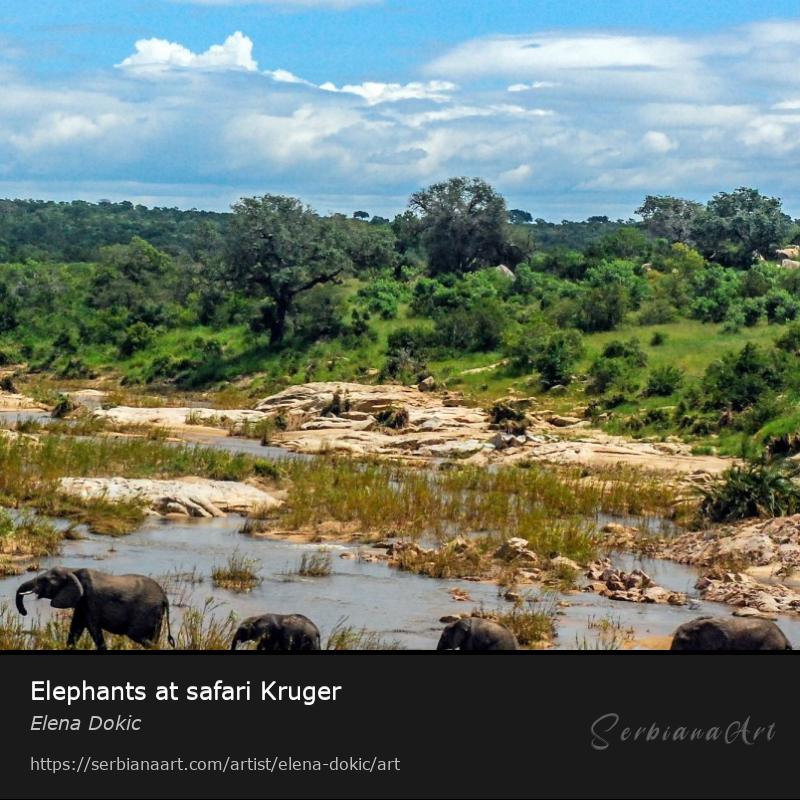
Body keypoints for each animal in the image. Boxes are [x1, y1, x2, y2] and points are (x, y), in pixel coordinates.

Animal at [15, 568, 175, 648]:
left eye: (44, 580)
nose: (24, 612)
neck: (72, 570)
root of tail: (164, 598)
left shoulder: (90, 600)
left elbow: (93, 628)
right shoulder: (82, 603)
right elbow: (76, 628)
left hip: (145, 612)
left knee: (138, 636)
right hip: (156, 615)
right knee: (153, 638)